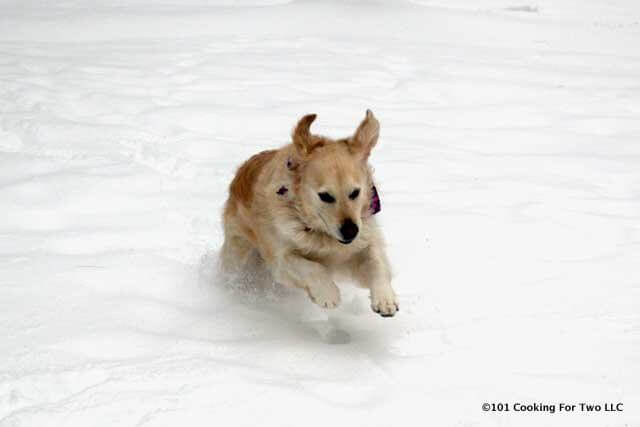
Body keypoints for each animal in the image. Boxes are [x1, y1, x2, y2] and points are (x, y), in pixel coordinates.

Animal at [221, 110, 400, 318]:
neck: (323, 236)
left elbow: (377, 262)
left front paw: (385, 298)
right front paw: (327, 294)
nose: (350, 231)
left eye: (355, 192)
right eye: (325, 196)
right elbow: (311, 267)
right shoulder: (280, 259)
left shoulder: (362, 243)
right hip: (238, 255)